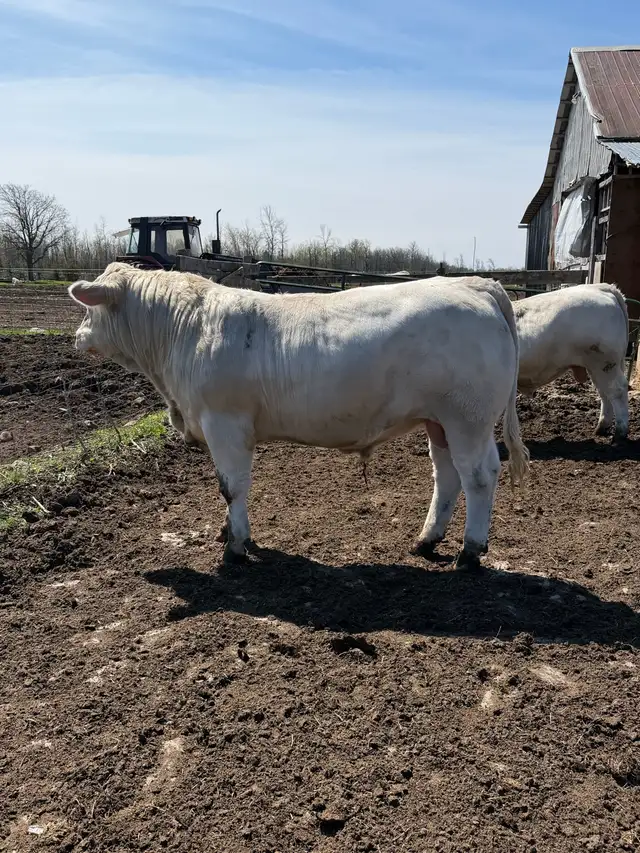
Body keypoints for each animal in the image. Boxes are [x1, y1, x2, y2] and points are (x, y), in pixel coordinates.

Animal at [68, 263, 529, 570]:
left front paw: (236, 545)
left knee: (479, 475)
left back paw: (470, 551)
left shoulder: (225, 423)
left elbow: (231, 486)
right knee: (446, 475)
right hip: (439, 421)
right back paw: (427, 540)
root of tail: (475, 283)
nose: (76, 338)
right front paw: (227, 532)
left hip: (468, 418)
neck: (187, 330)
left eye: (88, 309)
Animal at [513, 283, 629, 441]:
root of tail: (601, 287)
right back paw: (601, 428)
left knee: (617, 391)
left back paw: (620, 433)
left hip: (605, 363)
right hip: (597, 367)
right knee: (605, 393)